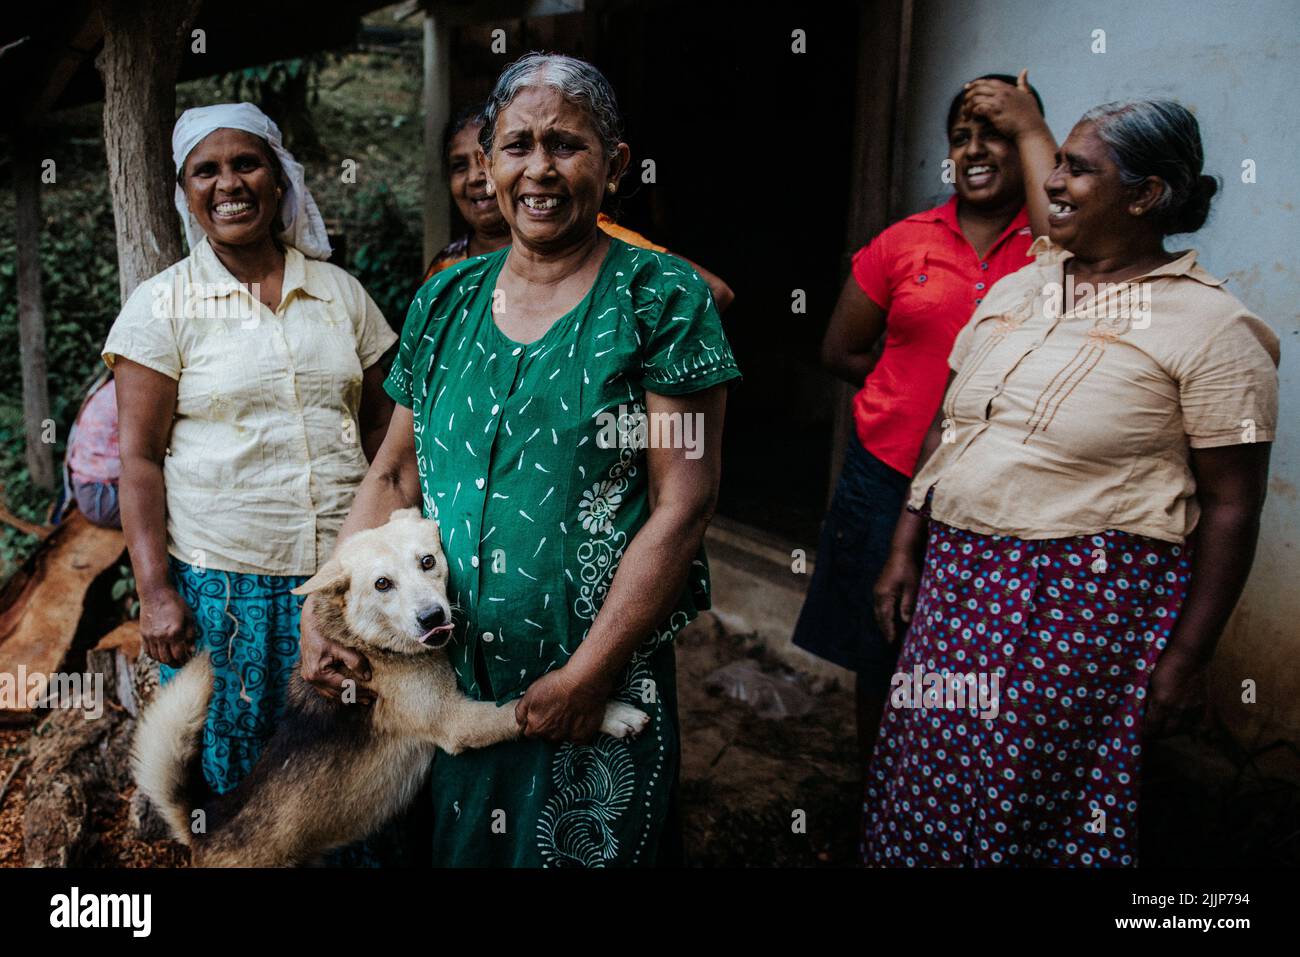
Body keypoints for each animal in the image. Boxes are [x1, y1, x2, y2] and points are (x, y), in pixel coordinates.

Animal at [131, 509, 650, 868]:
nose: (432, 617)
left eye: (428, 562)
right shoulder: (457, 721)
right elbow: (521, 705)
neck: (371, 643)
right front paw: (612, 712)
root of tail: (209, 825)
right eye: (382, 584)